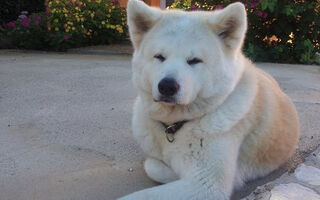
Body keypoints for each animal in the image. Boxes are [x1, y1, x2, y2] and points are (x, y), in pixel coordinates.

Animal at [120, 0, 300, 199]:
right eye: (159, 57)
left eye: (194, 60)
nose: (167, 86)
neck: (174, 127)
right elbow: (152, 165)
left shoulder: (207, 186)